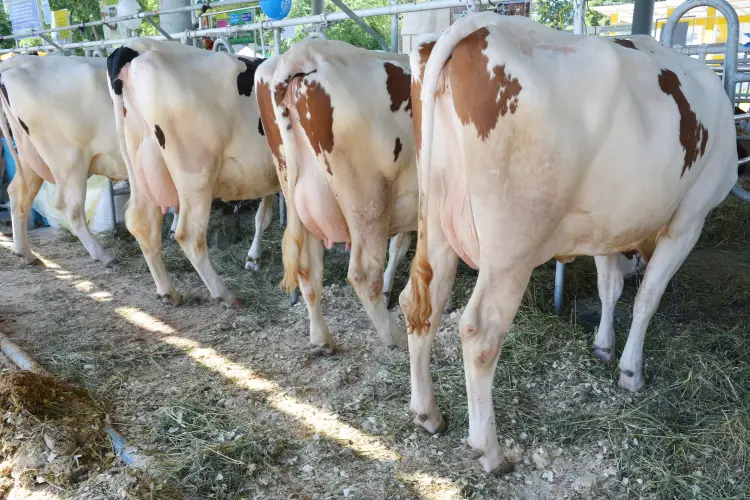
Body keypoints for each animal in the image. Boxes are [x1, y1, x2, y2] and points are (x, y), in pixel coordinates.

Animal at [0, 54, 128, 266]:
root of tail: (20, 60)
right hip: (69, 162)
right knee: (70, 206)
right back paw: (103, 255)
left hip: (30, 156)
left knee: (18, 193)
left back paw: (26, 253)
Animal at [107, 39, 280, 304]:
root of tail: (134, 46)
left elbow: (263, 215)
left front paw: (253, 258)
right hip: (196, 175)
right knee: (189, 233)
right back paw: (224, 294)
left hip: (138, 162)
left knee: (140, 222)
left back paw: (168, 291)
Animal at [258, 41, 426, 354]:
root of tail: (303, 52)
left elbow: (401, 243)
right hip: (369, 202)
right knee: (363, 272)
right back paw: (394, 336)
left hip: (296, 190)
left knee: (307, 269)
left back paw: (322, 339)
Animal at [402, 13, 736, 474]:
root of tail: (480, 24)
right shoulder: (690, 219)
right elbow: (647, 297)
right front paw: (631, 371)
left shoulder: (608, 227)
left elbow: (610, 287)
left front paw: (603, 345)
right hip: (511, 246)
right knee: (481, 332)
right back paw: (490, 451)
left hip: (437, 221)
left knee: (422, 303)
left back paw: (427, 413)